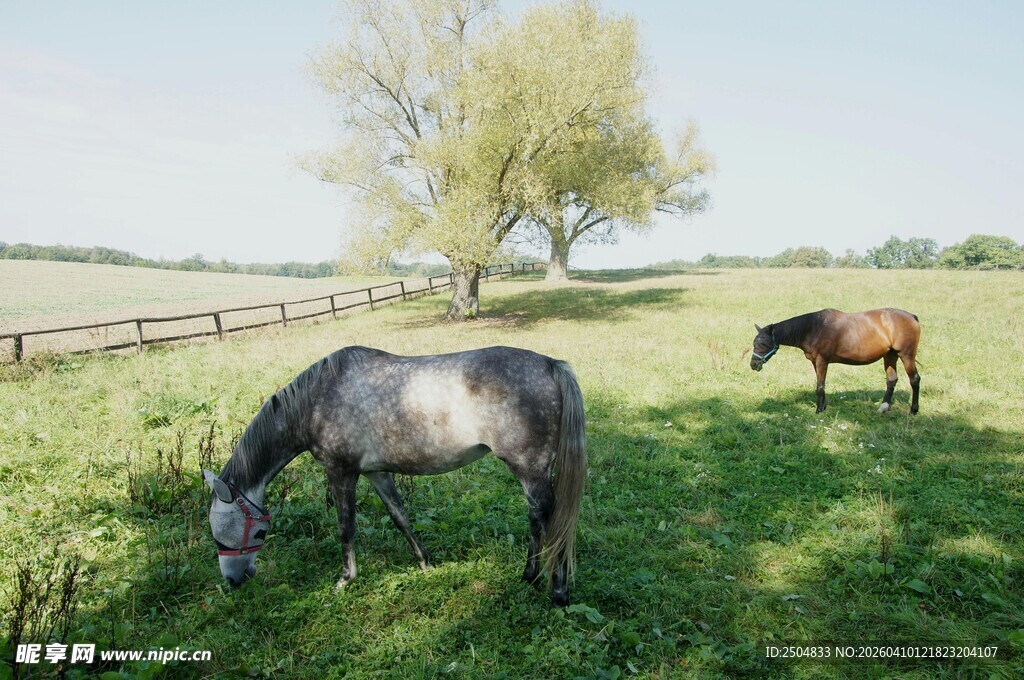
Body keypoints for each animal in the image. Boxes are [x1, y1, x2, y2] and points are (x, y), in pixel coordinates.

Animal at [203, 345, 587, 607]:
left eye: (228, 529)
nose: (234, 580)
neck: (316, 400)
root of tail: (551, 366)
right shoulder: (376, 472)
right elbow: (399, 515)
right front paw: (426, 563)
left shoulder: (341, 472)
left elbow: (346, 527)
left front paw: (345, 580)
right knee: (537, 520)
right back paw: (530, 577)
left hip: (529, 469)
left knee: (547, 519)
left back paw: (557, 591)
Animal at [750, 308, 921, 414]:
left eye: (764, 343)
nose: (753, 364)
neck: (814, 327)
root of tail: (912, 316)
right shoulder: (816, 362)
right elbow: (821, 385)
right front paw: (823, 407)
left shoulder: (822, 360)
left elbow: (820, 387)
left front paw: (818, 411)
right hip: (890, 355)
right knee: (891, 380)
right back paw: (883, 408)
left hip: (906, 355)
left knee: (914, 379)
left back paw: (913, 410)